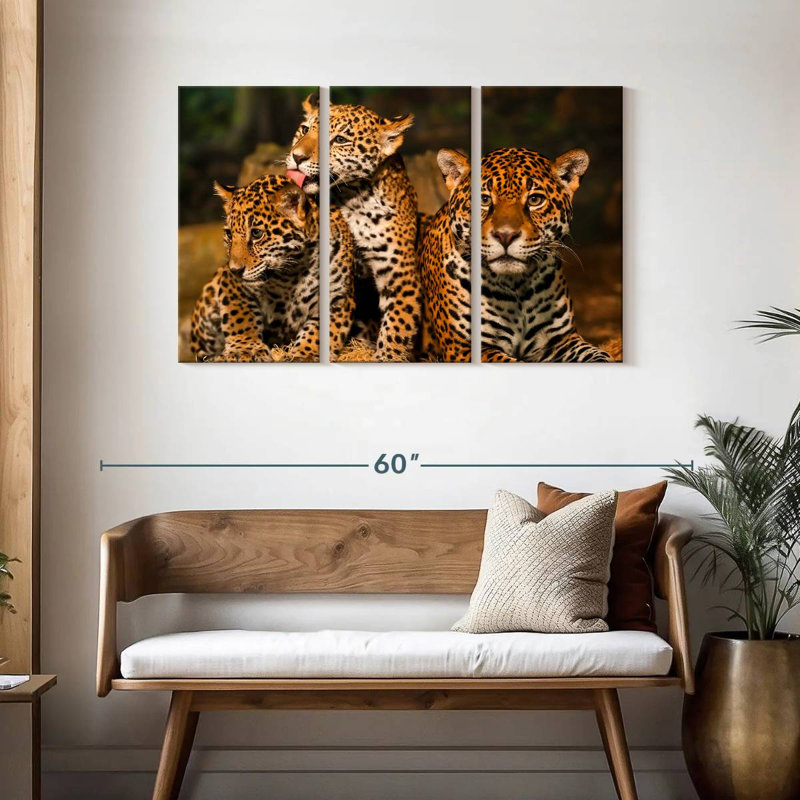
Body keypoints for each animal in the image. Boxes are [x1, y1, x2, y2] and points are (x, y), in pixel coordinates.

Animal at [190, 173, 355, 363]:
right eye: (229, 234)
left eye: (256, 233)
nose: (235, 270)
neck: (293, 271)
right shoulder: (232, 284)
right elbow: (240, 317)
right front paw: (245, 350)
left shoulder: (338, 297)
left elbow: (319, 331)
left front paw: (305, 354)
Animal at [286, 94, 421, 362]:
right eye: (305, 130)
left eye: (340, 140)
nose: (296, 157)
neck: (351, 198)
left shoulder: (401, 278)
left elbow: (396, 329)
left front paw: (386, 357)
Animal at [480, 147, 612, 363]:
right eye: (484, 200)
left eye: (535, 200)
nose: (505, 235)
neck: (517, 286)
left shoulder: (561, 340)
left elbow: (598, 355)